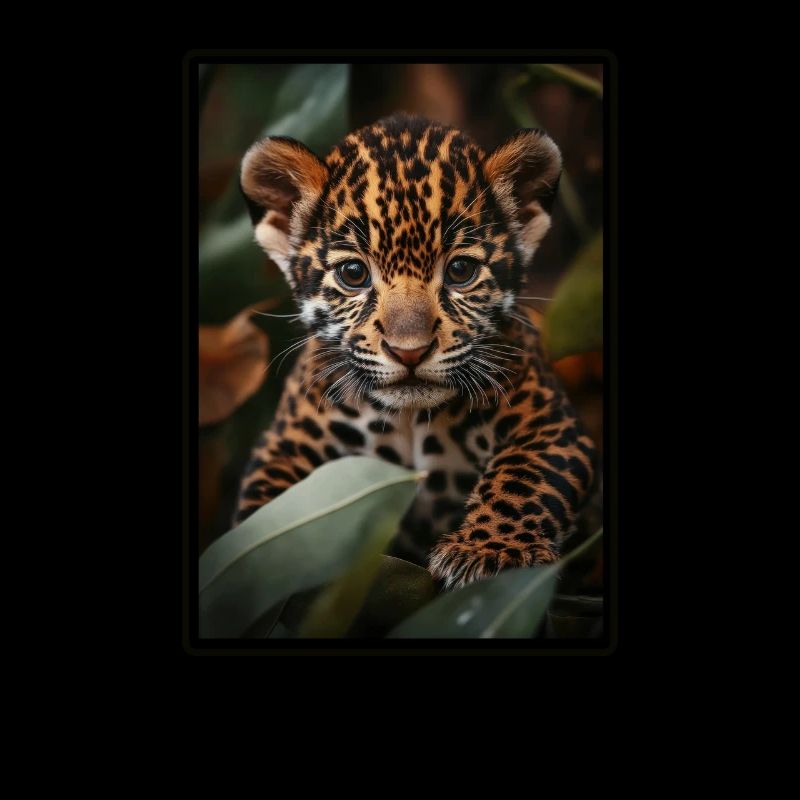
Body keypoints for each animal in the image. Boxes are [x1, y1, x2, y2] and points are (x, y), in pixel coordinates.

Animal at [235, 112, 597, 589]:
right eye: (353, 274)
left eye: (461, 270)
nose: (409, 352)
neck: (409, 418)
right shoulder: (286, 443)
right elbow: (270, 512)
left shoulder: (549, 420)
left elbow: (524, 476)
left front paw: (491, 551)